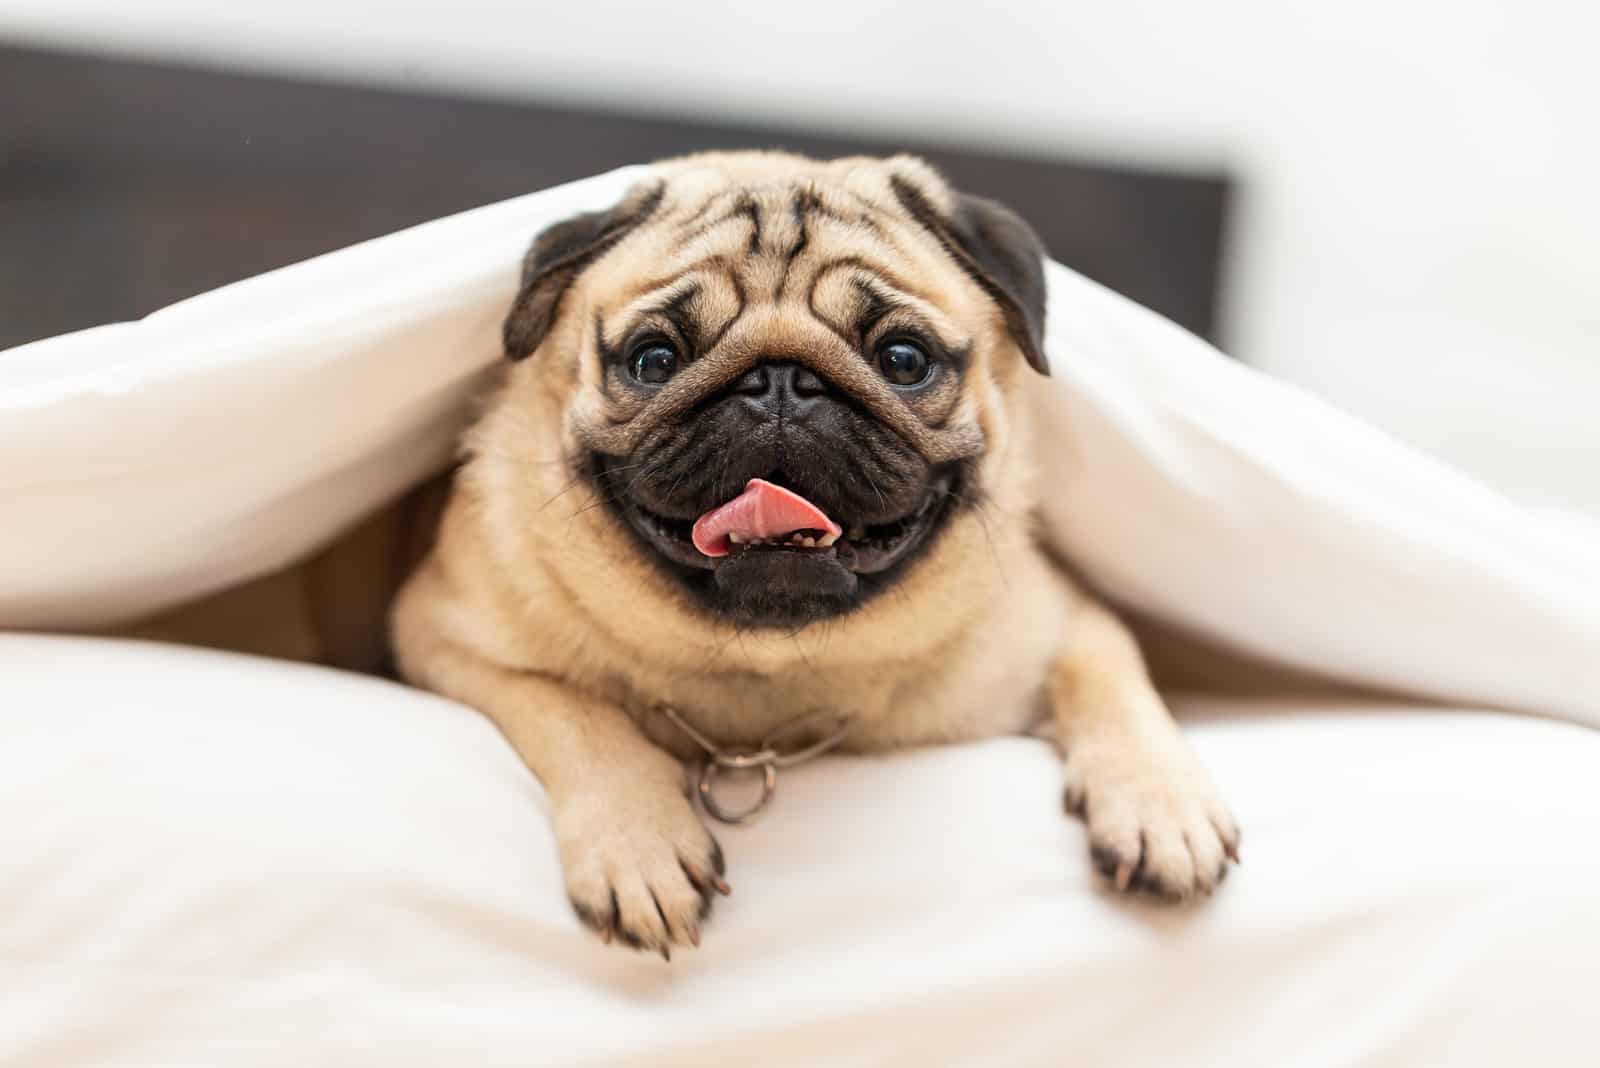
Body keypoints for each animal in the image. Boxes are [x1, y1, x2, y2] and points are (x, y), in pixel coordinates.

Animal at [387, 147, 1235, 952]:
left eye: (903, 359)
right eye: (654, 360)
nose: (779, 384)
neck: (773, 667)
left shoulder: (1059, 624)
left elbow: (1113, 670)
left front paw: (1161, 804)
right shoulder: (442, 638)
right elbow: (574, 712)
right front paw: (638, 842)